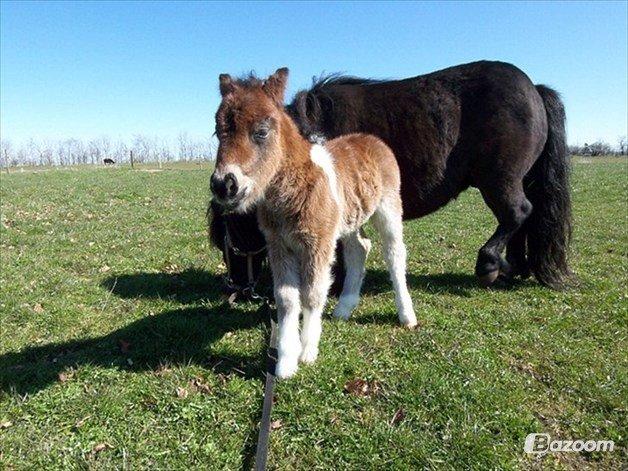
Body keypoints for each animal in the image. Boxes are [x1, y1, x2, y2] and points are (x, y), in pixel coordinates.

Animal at [209, 60, 572, 294]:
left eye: (229, 227)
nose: (234, 286)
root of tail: (534, 89)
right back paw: (516, 269)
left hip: (499, 181)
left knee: (518, 213)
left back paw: (490, 265)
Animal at [211, 69, 418, 380]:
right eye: (217, 130)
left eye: (261, 132)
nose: (224, 185)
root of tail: (371, 140)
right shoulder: (279, 245)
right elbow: (286, 297)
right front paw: (285, 361)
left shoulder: (317, 243)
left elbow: (311, 294)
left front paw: (307, 350)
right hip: (348, 219)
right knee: (359, 248)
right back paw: (344, 308)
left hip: (389, 207)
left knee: (394, 253)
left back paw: (406, 315)